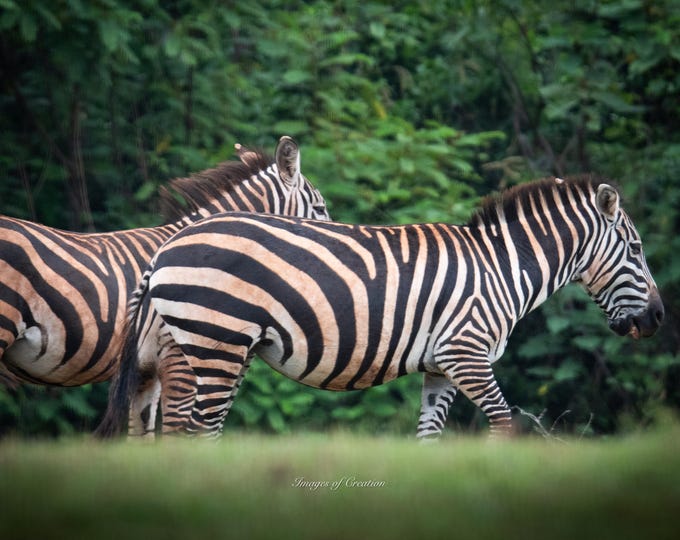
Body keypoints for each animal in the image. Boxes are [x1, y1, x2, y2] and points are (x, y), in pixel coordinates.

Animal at [98, 175, 663, 439]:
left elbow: (428, 438)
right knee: (197, 430)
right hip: (216, 341)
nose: (658, 319)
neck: (502, 269)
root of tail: (167, 247)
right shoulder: (467, 353)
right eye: (637, 251)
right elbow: (505, 424)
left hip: (214, 348)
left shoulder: (440, 367)